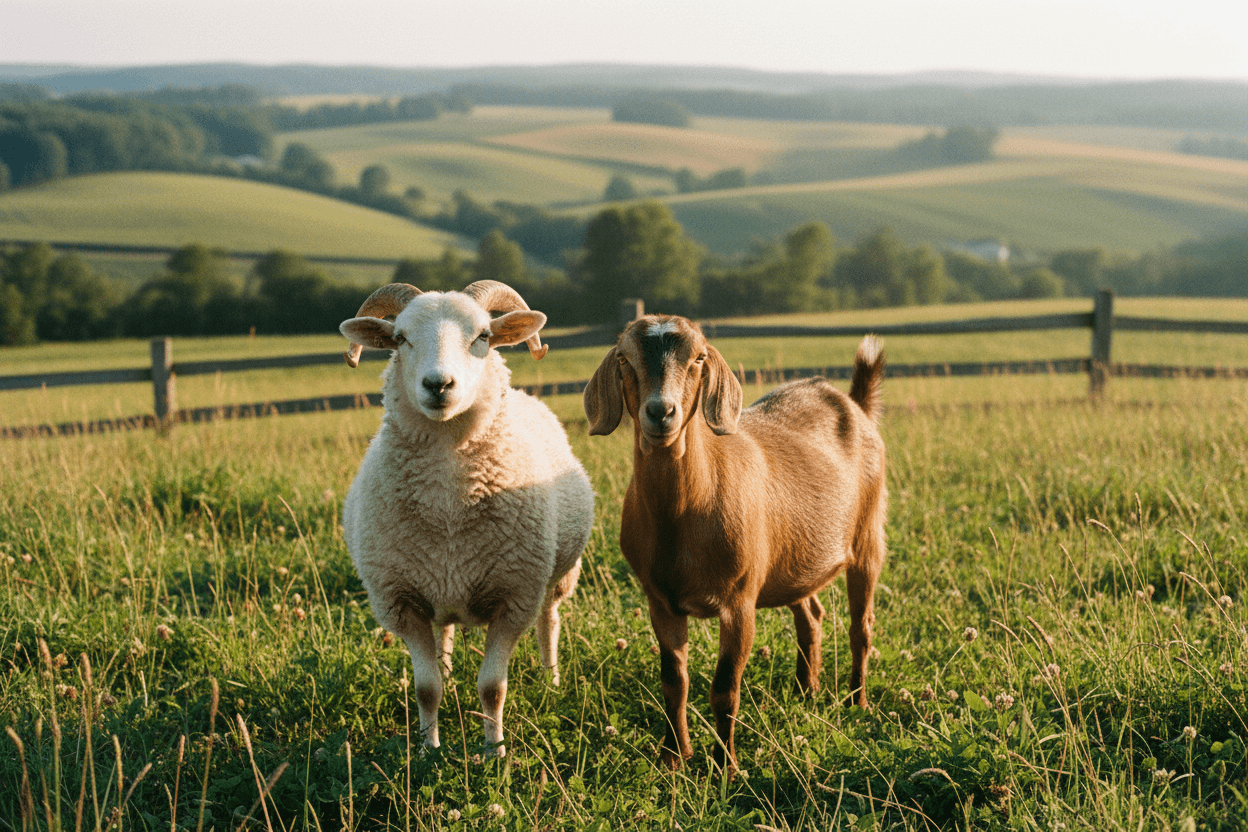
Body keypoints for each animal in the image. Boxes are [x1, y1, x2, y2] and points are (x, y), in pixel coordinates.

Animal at [339, 280, 594, 758]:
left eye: (483, 336)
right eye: (400, 338)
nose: (438, 385)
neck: (448, 502)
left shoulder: (515, 598)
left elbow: (493, 687)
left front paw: (494, 752)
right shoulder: (401, 602)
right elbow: (426, 688)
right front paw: (428, 750)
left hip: (557, 575)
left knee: (549, 621)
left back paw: (550, 680)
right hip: (436, 587)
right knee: (445, 637)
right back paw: (450, 675)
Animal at [583, 315, 887, 772]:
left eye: (698, 358)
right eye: (624, 358)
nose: (660, 412)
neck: (681, 516)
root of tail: (854, 403)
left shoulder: (739, 600)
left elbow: (725, 688)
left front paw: (726, 765)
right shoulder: (661, 601)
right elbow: (674, 682)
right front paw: (674, 756)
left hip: (868, 536)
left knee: (860, 626)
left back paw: (857, 702)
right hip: (791, 558)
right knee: (810, 615)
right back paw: (806, 690)